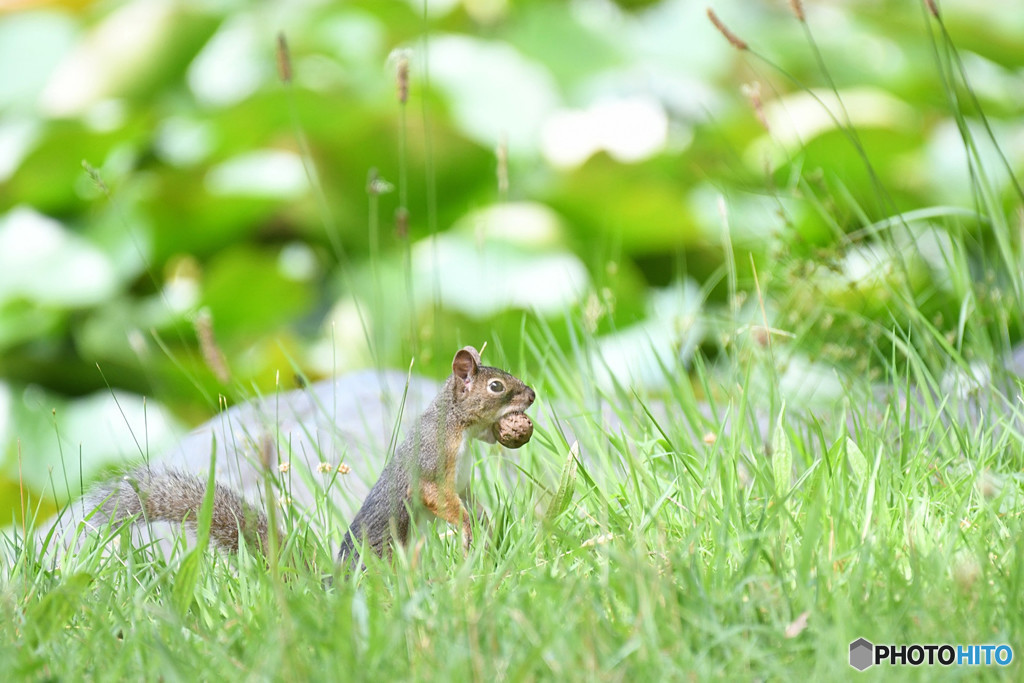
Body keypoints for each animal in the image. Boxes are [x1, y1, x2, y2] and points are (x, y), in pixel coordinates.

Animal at [86, 348, 536, 565]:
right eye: (497, 386)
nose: (531, 395)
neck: (459, 428)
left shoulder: (462, 479)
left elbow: (471, 501)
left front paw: (484, 524)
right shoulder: (431, 467)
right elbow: (438, 499)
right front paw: (468, 528)